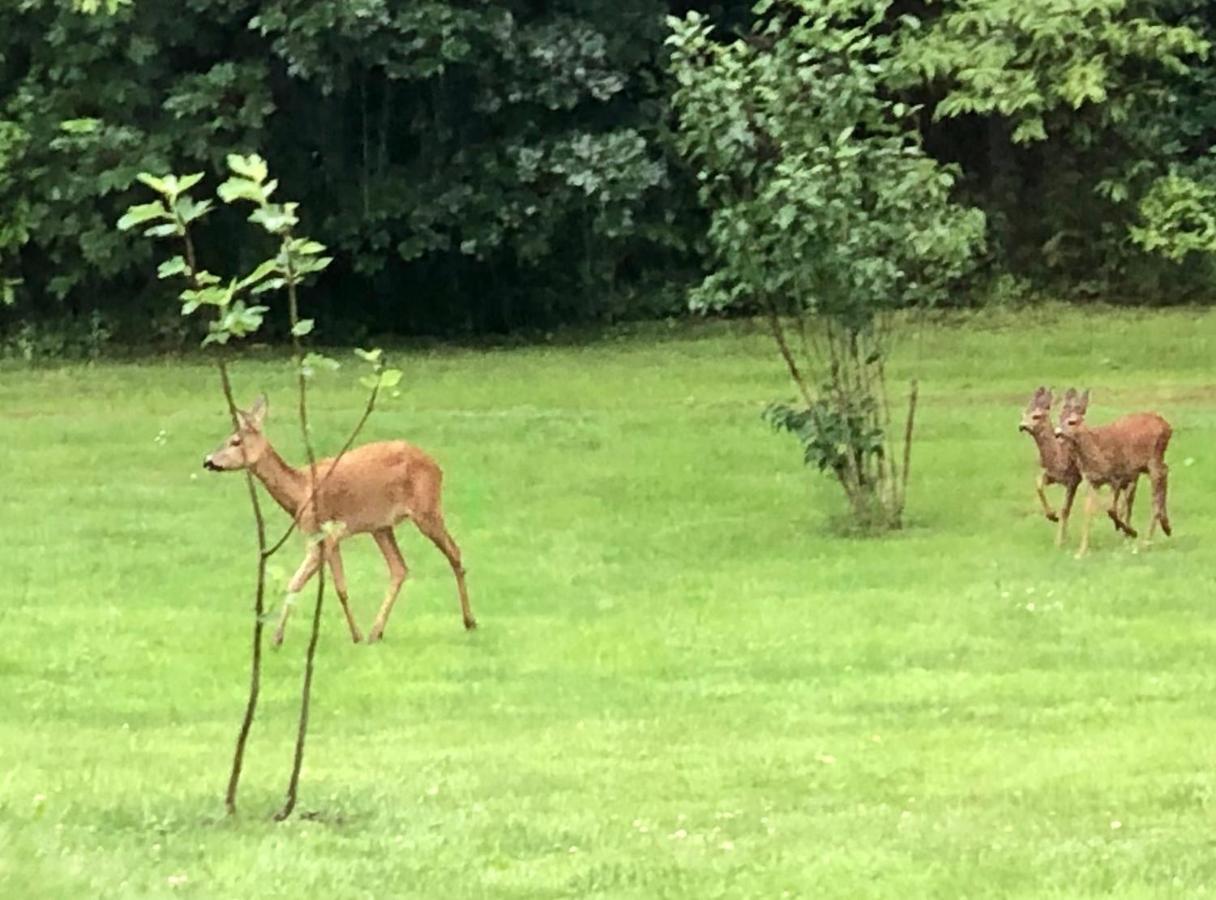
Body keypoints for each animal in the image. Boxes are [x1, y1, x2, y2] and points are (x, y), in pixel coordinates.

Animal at [201, 394, 471, 642]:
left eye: (235, 441)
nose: (207, 461)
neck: (300, 492)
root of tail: (437, 466)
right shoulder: (333, 538)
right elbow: (341, 587)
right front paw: (356, 635)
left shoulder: (321, 534)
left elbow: (295, 584)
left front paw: (276, 638)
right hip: (381, 526)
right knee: (399, 568)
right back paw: (375, 632)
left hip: (427, 509)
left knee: (454, 551)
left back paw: (469, 621)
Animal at [1055, 389, 1167, 559]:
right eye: (1059, 418)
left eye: (1072, 422)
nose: (1057, 433)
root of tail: (1167, 425)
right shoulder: (1092, 481)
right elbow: (1089, 512)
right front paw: (1081, 551)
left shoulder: (1117, 477)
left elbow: (1111, 509)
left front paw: (1132, 531)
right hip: (1146, 466)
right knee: (1164, 476)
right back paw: (1164, 527)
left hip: (1153, 458)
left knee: (1159, 485)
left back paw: (1149, 539)